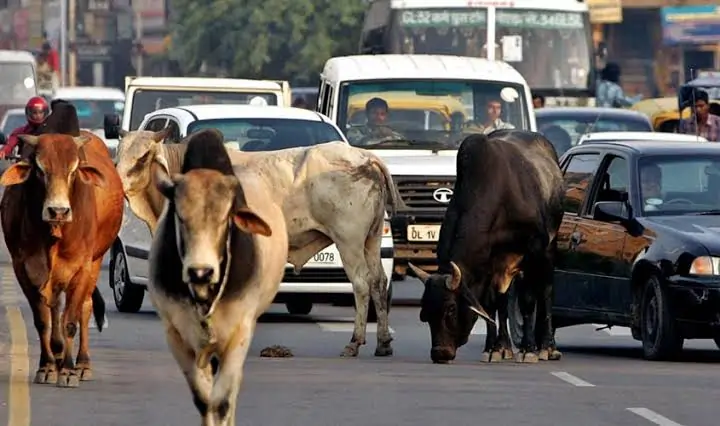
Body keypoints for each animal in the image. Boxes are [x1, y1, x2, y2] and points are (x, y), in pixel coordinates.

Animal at [0, 131, 124, 388]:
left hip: (96, 261)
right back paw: (57, 357)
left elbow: (70, 321)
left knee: (84, 308)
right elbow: (43, 321)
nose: (58, 211)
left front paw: (67, 371)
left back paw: (82, 365)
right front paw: (47, 367)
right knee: (55, 307)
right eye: (39, 169)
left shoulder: (82, 267)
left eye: (73, 170)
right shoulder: (23, 268)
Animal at [116, 128, 400, 358]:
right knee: (378, 282)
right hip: (372, 239)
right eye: (118, 154)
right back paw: (383, 343)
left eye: (143, 157)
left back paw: (355, 342)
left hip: (348, 241)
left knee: (361, 284)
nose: (117, 184)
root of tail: (366, 157)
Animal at [149, 131, 290, 426]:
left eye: (225, 218)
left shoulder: (240, 333)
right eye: (180, 216)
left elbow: (222, 401)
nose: (200, 272)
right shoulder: (175, 335)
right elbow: (204, 402)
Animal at [408, 130, 564, 362]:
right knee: (502, 300)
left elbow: (528, 301)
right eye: (425, 312)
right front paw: (494, 348)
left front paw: (529, 350)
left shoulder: (533, 250)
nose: (439, 353)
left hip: (548, 250)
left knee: (545, 291)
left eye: (451, 308)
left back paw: (547, 347)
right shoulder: (489, 263)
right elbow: (490, 305)